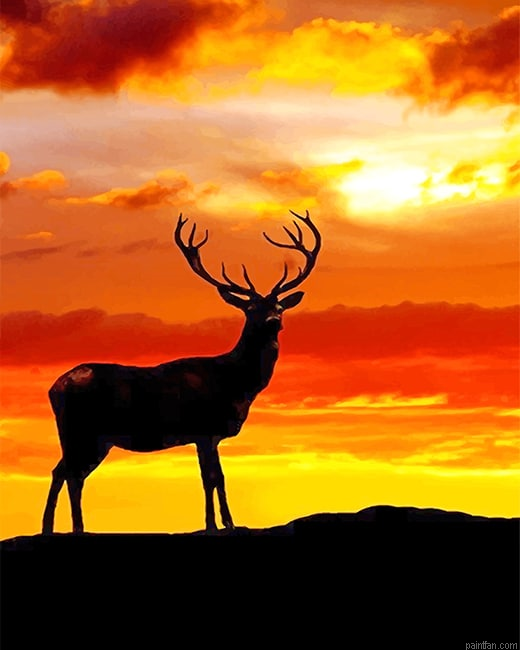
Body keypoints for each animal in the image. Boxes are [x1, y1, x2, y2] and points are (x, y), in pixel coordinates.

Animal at [41, 210, 321, 534]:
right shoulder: (204, 429)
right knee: (71, 474)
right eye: (250, 309)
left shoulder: (210, 435)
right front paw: (217, 524)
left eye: (279, 306)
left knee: (63, 471)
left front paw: (225, 522)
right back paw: (75, 528)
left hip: (90, 437)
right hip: (83, 429)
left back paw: (53, 527)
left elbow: (216, 477)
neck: (235, 384)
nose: (274, 321)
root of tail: (55, 388)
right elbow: (211, 478)